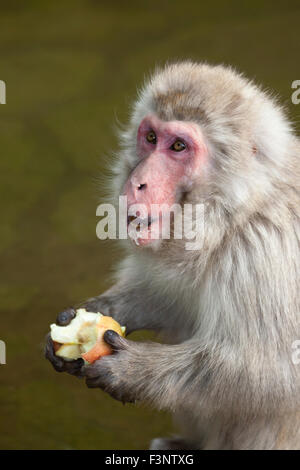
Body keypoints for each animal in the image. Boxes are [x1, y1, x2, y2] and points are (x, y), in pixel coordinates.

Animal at [45, 61, 300, 448]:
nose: (138, 182)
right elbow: (169, 300)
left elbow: (272, 371)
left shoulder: (264, 250)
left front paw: (132, 370)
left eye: (178, 146)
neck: (233, 213)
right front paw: (99, 310)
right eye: (151, 138)